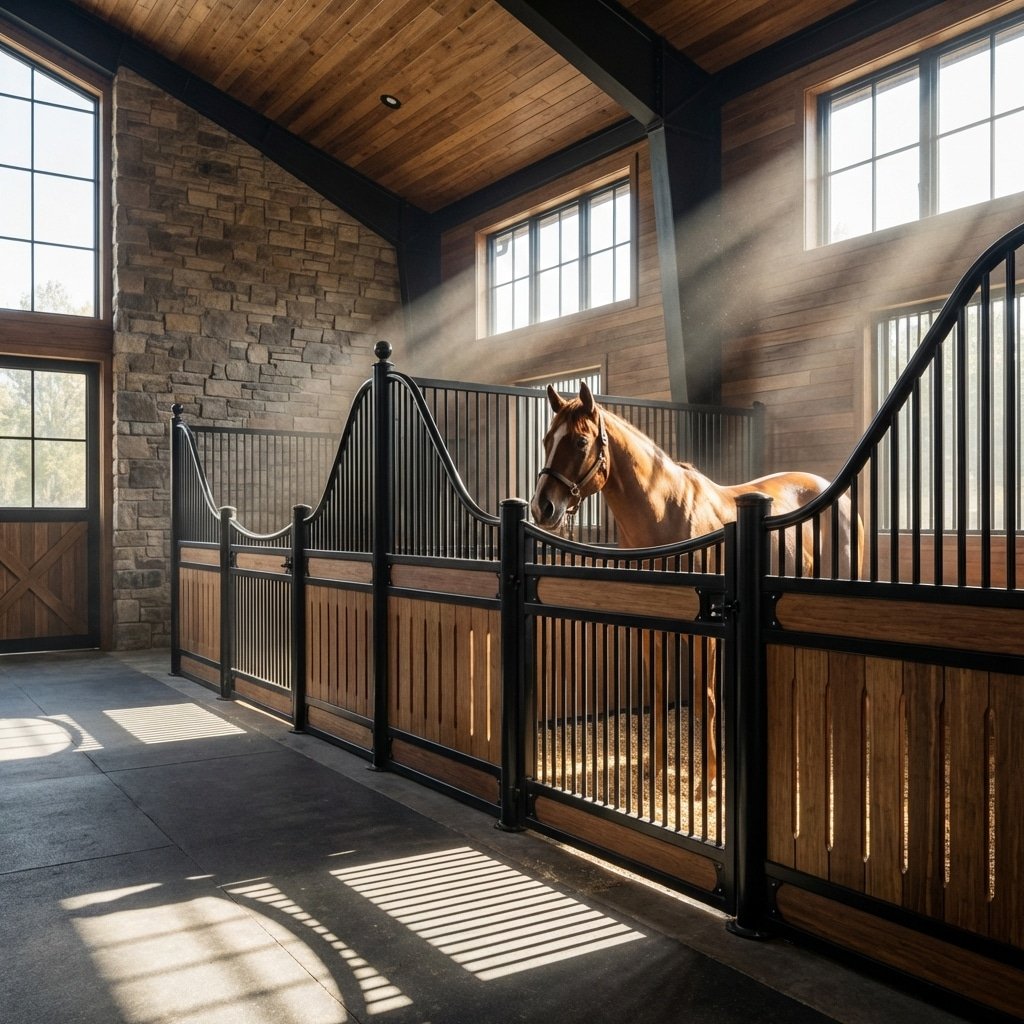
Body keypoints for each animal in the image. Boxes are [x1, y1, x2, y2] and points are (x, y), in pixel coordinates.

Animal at [530, 382, 861, 788]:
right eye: (547, 439)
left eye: (579, 441)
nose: (541, 507)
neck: (665, 516)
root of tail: (834, 492)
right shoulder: (651, 627)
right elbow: (657, 691)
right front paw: (654, 770)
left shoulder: (707, 634)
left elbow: (706, 699)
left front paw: (710, 781)